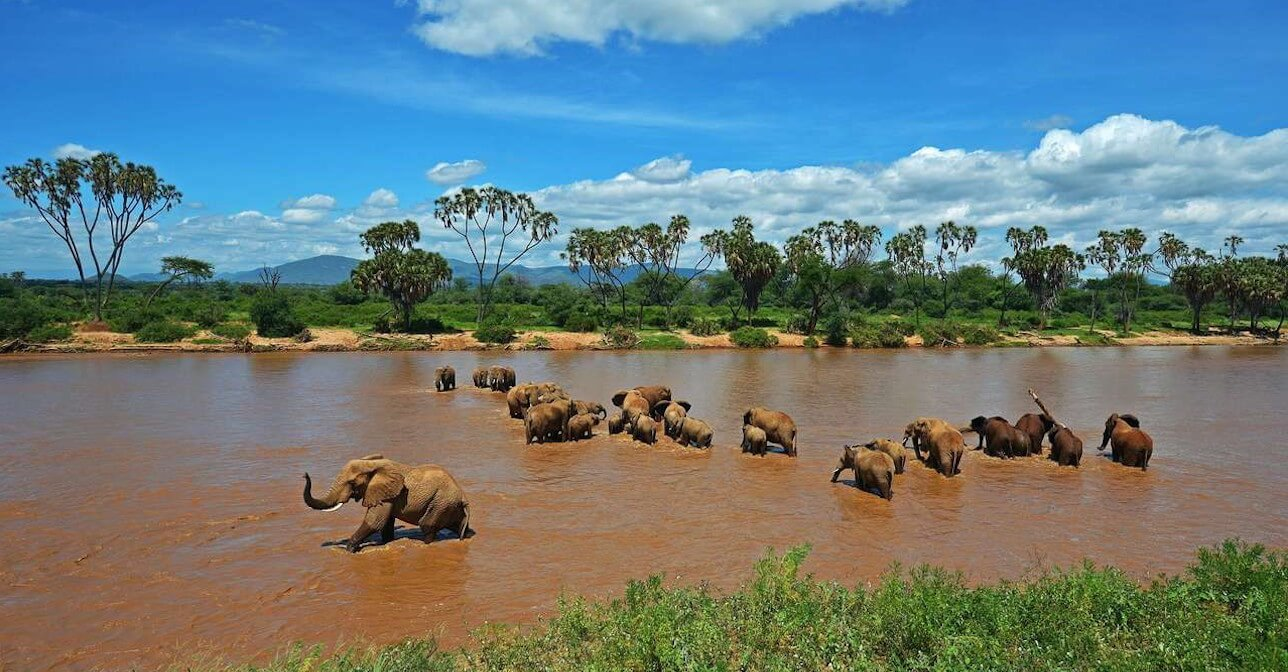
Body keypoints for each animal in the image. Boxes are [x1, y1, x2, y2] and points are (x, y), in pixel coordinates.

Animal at [303, 453, 471, 550]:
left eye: (351, 483)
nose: (305, 474)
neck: (371, 464)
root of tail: (463, 496)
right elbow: (386, 524)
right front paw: (385, 543)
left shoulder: (386, 494)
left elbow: (376, 521)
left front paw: (349, 549)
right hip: (447, 505)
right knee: (456, 525)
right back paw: (466, 535)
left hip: (440, 502)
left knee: (427, 526)